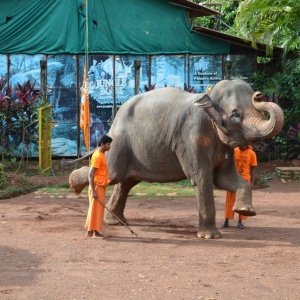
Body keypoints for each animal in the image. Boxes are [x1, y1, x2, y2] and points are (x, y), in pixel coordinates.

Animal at [62, 79, 284, 239]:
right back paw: (73, 184)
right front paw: (210, 237)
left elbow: (225, 179)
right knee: (115, 174)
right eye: (235, 115)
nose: (259, 94)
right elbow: (202, 178)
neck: (209, 96)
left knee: (126, 182)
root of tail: (115, 118)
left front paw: (246, 211)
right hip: (120, 142)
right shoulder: (191, 137)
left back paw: (115, 221)